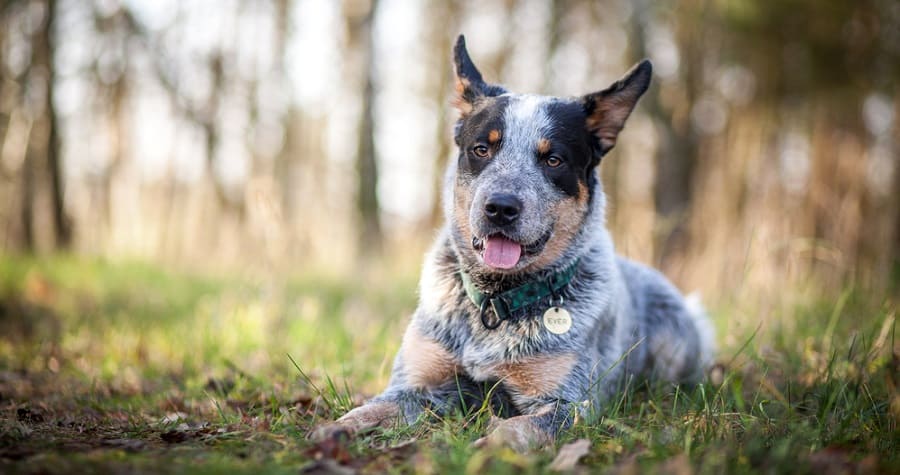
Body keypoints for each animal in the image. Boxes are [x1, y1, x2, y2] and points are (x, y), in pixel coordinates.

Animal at [312, 35, 712, 452]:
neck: (494, 303)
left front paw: (483, 450)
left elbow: (516, 428)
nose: (501, 207)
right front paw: (332, 430)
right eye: (481, 149)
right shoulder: (417, 384)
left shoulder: (567, 404)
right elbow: (371, 409)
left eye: (553, 159)